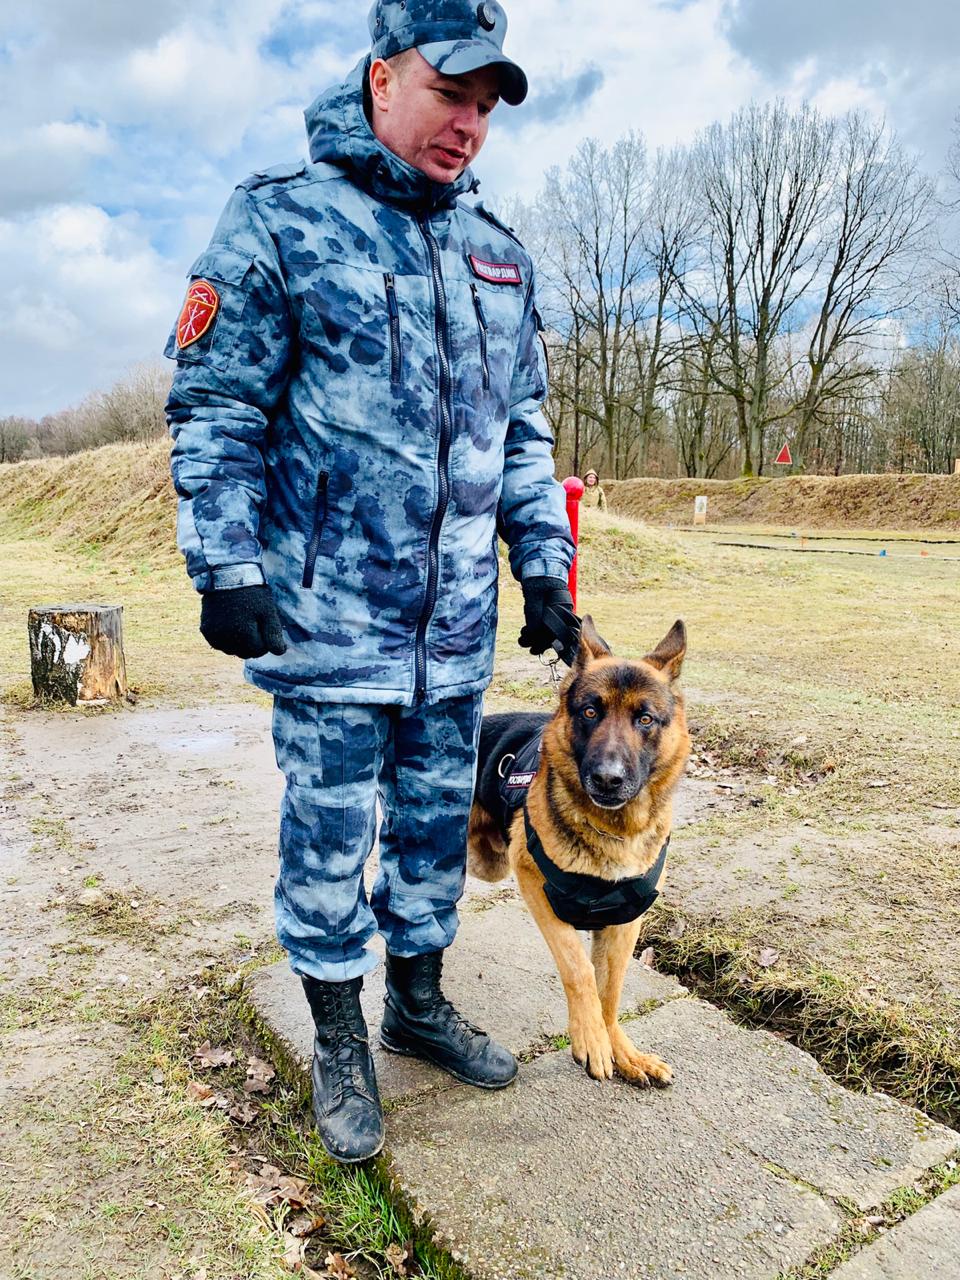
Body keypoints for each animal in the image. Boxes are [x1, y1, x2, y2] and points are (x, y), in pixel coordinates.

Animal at [468, 617, 690, 1085]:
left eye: (645, 718)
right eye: (590, 712)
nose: (607, 779)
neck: (613, 829)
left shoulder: (625, 922)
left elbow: (612, 988)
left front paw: (622, 1049)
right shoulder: (535, 886)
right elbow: (579, 969)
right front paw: (589, 1037)